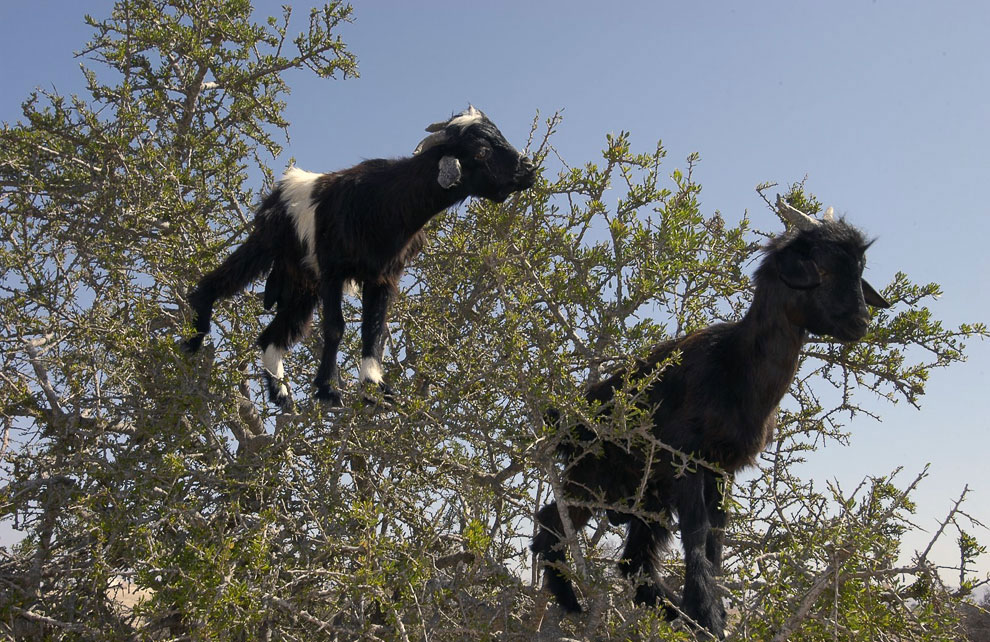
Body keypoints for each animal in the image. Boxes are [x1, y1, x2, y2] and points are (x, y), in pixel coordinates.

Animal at [182, 105, 540, 404]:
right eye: (481, 150)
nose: (528, 169)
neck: (386, 203)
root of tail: (281, 189)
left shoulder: (383, 276)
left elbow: (374, 330)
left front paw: (374, 389)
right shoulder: (333, 270)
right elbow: (335, 327)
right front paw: (328, 390)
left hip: (302, 284)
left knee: (272, 335)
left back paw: (280, 393)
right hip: (269, 244)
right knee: (224, 277)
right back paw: (194, 336)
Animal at [536, 198, 892, 636]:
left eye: (859, 271)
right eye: (821, 269)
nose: (860, 323)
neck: (736, 367)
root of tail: (565, 418)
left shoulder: (721, 469)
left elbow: (716, 540)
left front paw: (713, 614)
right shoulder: (685, 459)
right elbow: (697, 534)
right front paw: (706, 614)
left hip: (646, 496)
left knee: (633, 563)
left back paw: (668, 609)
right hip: (594, 476)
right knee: (552, 523)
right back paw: (572, 602)